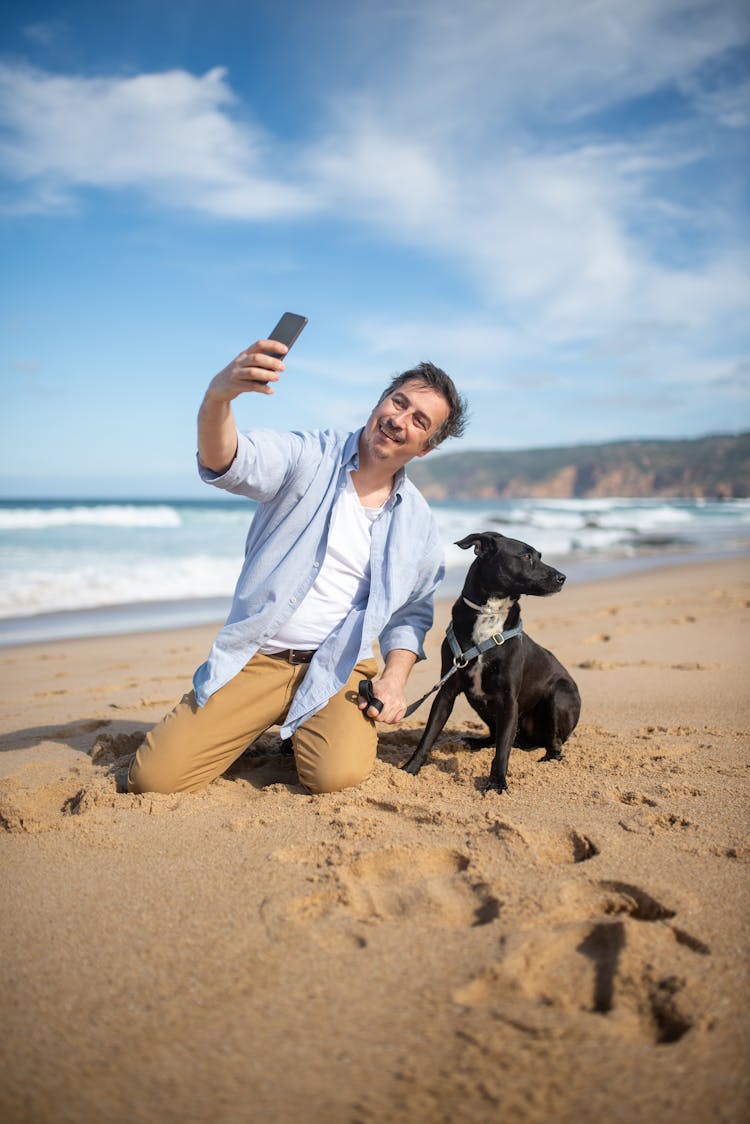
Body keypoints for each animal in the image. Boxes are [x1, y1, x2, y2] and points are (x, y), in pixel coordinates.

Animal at [402, 530, 584, 795]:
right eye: (527, 556)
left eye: (539, 555)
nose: (562, 577)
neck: (489, 614)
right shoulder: (446, 692)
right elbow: (428, 736)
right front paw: (410, 768)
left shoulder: (508, 699)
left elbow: (502, 749)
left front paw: (497, 782)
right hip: (479, 703)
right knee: (496, 735)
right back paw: (475, 742)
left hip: (560, 696)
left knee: (553, 742)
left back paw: (549, 757)